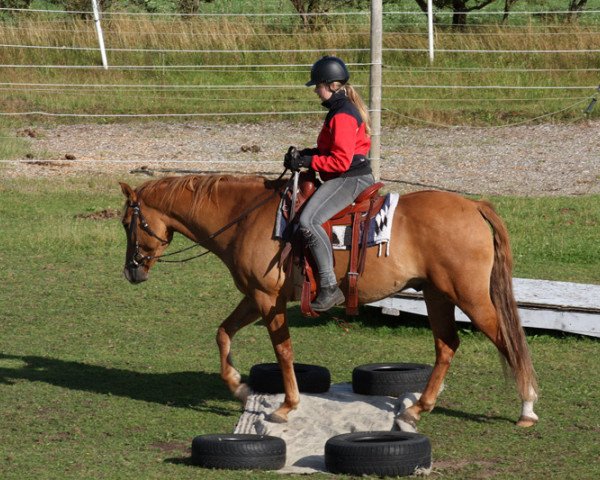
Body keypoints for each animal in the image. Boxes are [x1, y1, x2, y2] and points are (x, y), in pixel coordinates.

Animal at [118, 173, 540, 432]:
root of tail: (474, 206)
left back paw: (527, 408)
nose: (130, 271)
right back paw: (417, 407)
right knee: (447, 346)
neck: (244, 219)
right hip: (438, 295)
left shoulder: (267, 299)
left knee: (508, 341)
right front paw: (239, 387)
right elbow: (223, 333)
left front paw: (286, 406)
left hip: (470, 297)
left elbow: (284, 351)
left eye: (126, 223)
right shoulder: (254, 296)